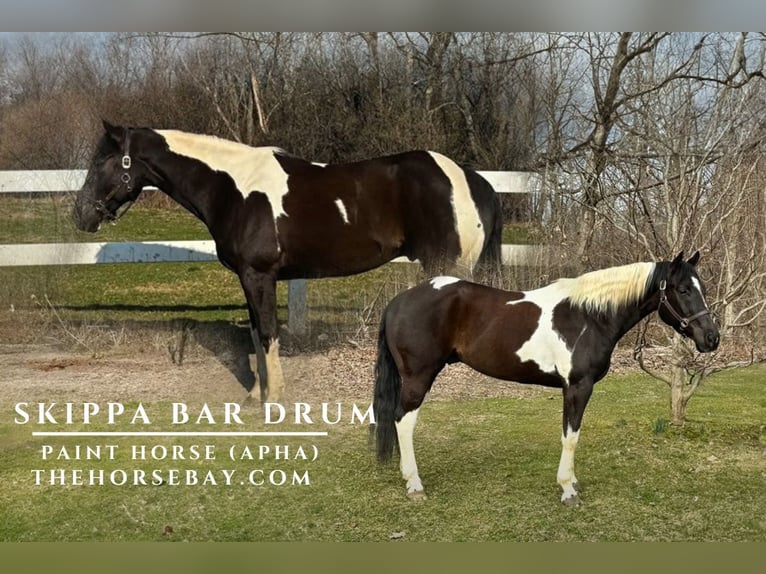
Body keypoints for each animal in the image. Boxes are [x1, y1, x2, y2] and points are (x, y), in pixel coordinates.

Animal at [72, 122, 504, 400]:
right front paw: (255, 396)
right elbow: (254, 334)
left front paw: (273, 399)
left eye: (102, 161)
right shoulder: (249, 279)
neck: (233, 188)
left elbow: (267, 333)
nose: (80, 215)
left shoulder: (258, 275)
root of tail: (472, 179)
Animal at [376, 254, 724, 506]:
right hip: (418, 377)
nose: (711, 338)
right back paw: (415, 485)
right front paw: (568, 489)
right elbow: (571, 436)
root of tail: (398, 301)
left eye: (703, 288)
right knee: (403, 421)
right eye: (683, 290)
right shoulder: (577, 387)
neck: (590, 317)